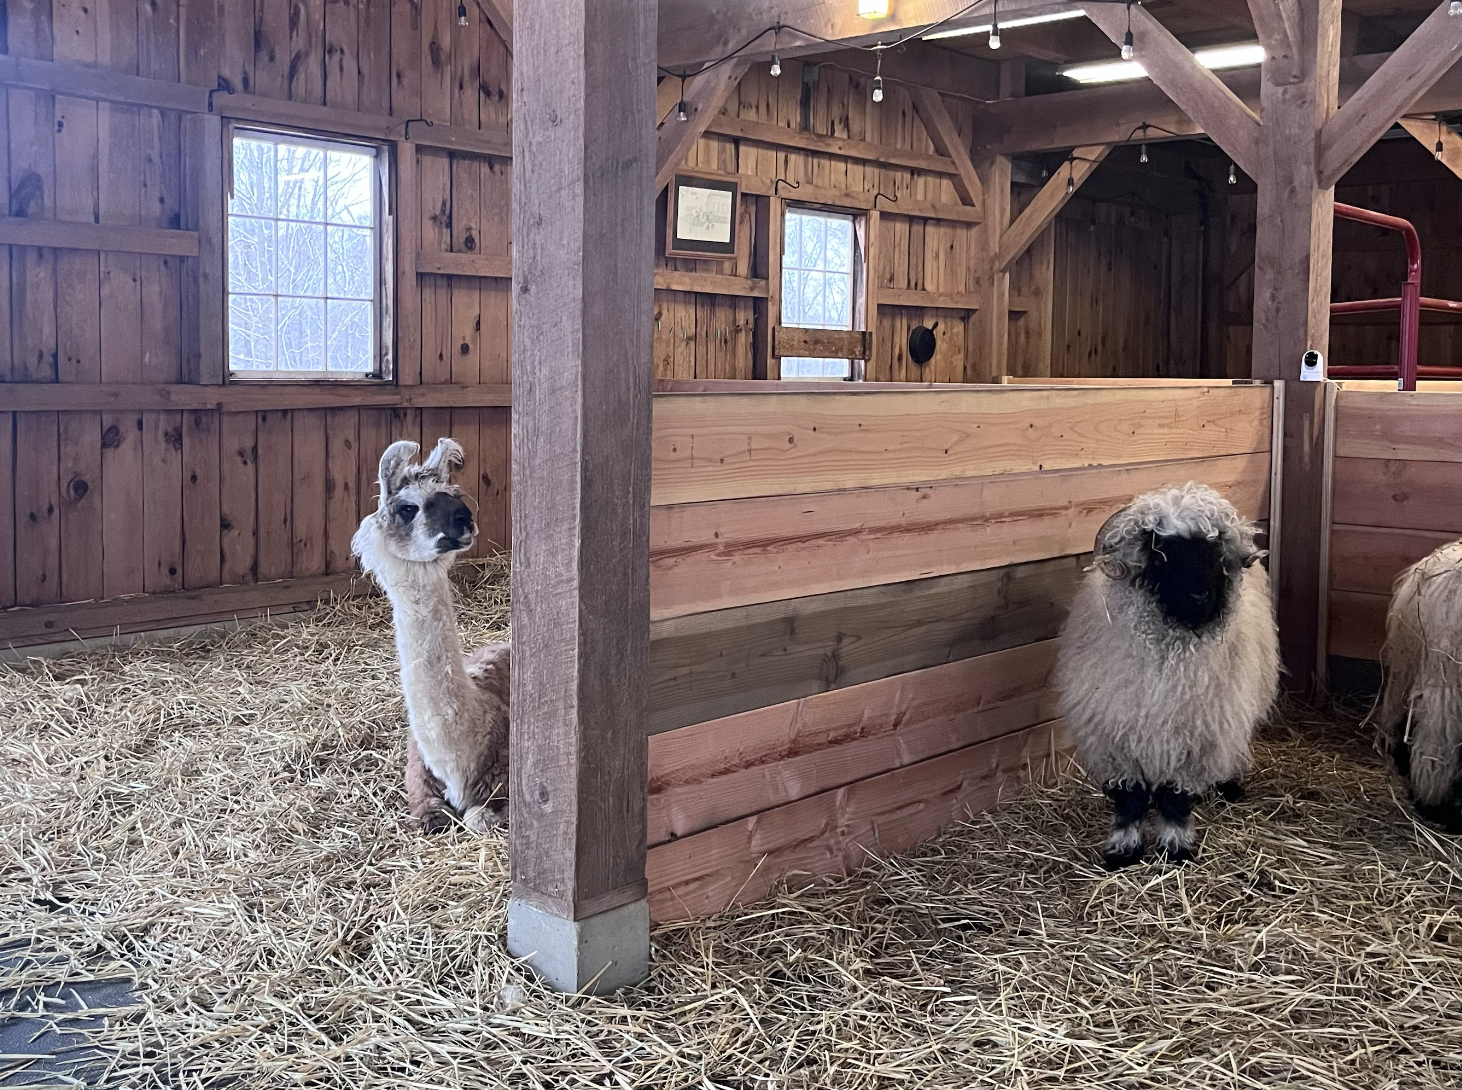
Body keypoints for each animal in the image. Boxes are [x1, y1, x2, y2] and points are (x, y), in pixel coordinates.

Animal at [1055, 482, 1280, 868]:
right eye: (1162, 554)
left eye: (1214, 551)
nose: (1201, 595)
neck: (1169, 656)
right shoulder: (1115, 735)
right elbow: (1129, 797)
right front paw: (1123, 849)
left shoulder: (1196, 736)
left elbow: (1176, 798)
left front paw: (1176, 847)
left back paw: (1230, 783)